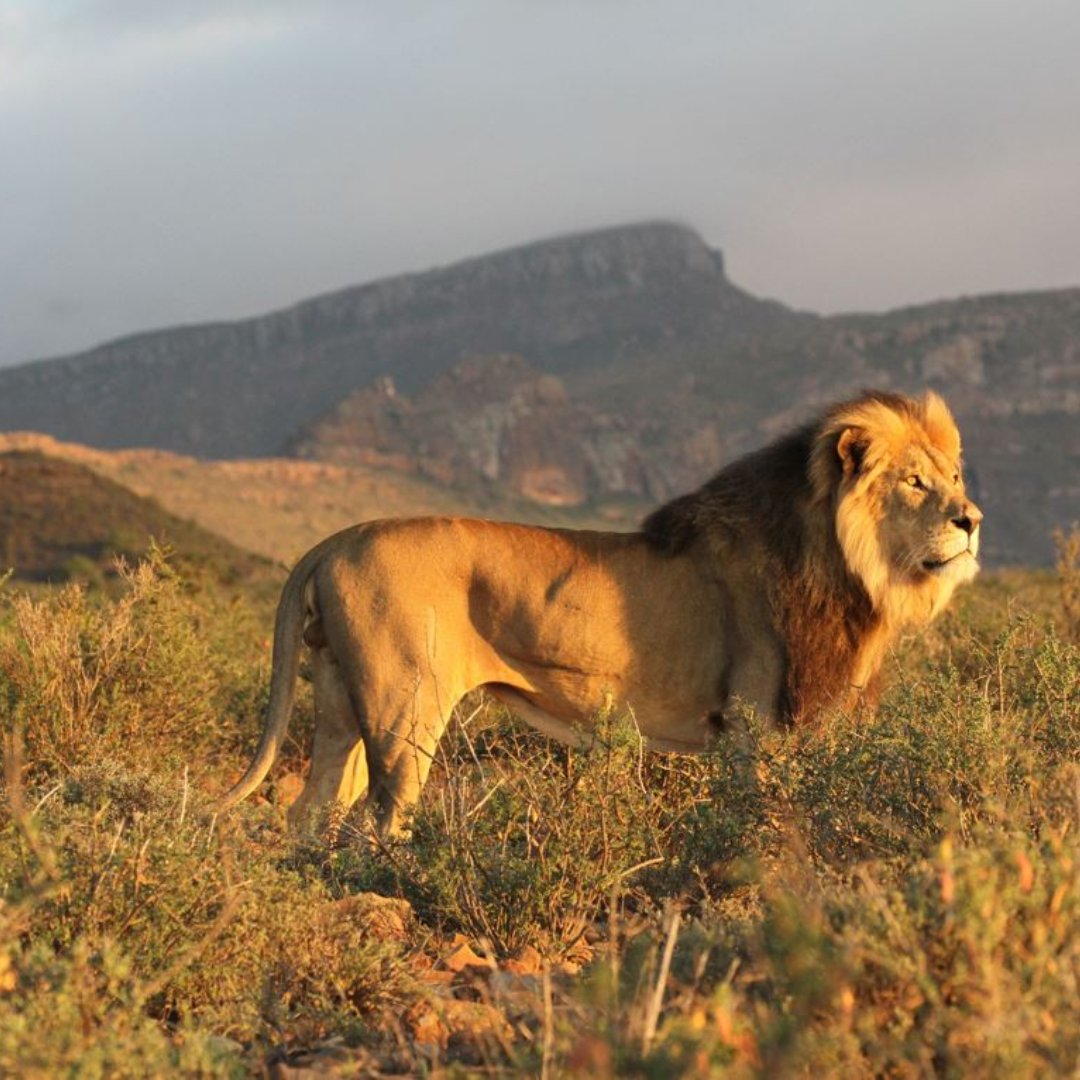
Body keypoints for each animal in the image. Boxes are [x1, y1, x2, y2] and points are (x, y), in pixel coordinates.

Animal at [219, 389, 981, 836]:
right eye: (916, 482)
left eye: (955, 477)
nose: (972, 520)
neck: (847, 566)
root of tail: (333, 540)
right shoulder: (755, 725)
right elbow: (766, 814)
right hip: (404, 705)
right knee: (382, 815)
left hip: (340, 702)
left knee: (312, 809)